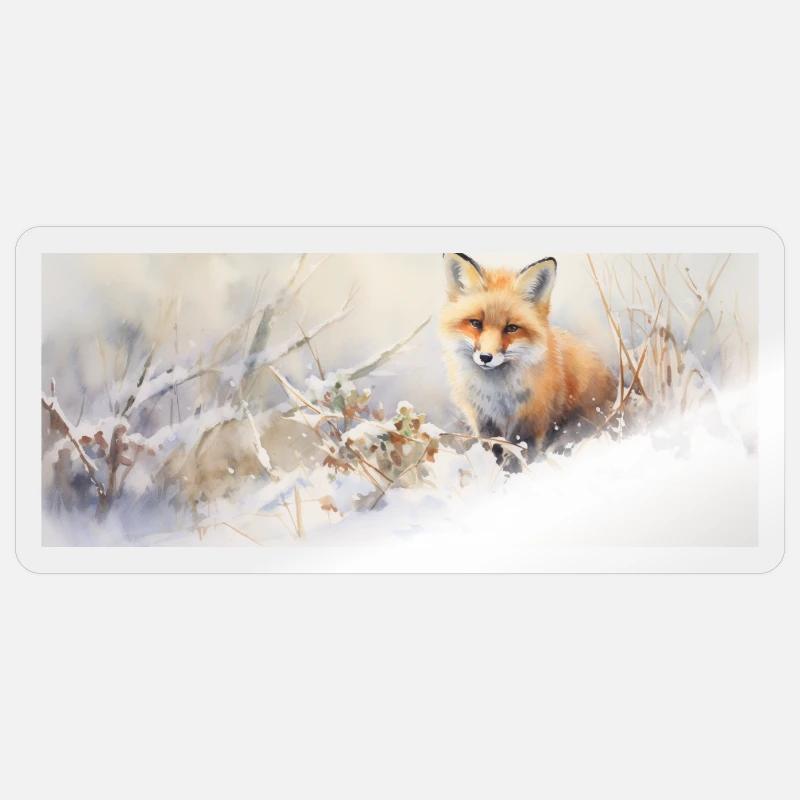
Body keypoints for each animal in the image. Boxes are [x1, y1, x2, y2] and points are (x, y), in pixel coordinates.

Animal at [440, 252, 616, 459]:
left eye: (511, 328)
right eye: (476, 323)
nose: (485, 357)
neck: (496, 393)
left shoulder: (532, 421)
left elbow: (522, 455)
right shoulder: (483, 420)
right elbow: (492, 450)